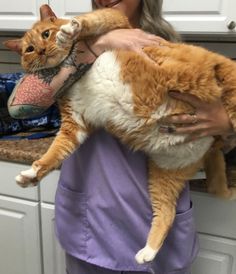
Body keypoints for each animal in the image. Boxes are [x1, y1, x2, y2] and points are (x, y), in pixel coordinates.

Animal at [3, 4, 236, 264]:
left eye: (46, 34)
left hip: (227, 82)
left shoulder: (118, 21)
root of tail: (211, 143)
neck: (76, 74)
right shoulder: (75, 123)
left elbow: (93, 19)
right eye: (29, 49)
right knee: (167, 212)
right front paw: (33, 173)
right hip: (165, 173)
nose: (42, 50)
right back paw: (148, 251)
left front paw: (70, 31)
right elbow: (56, 151)